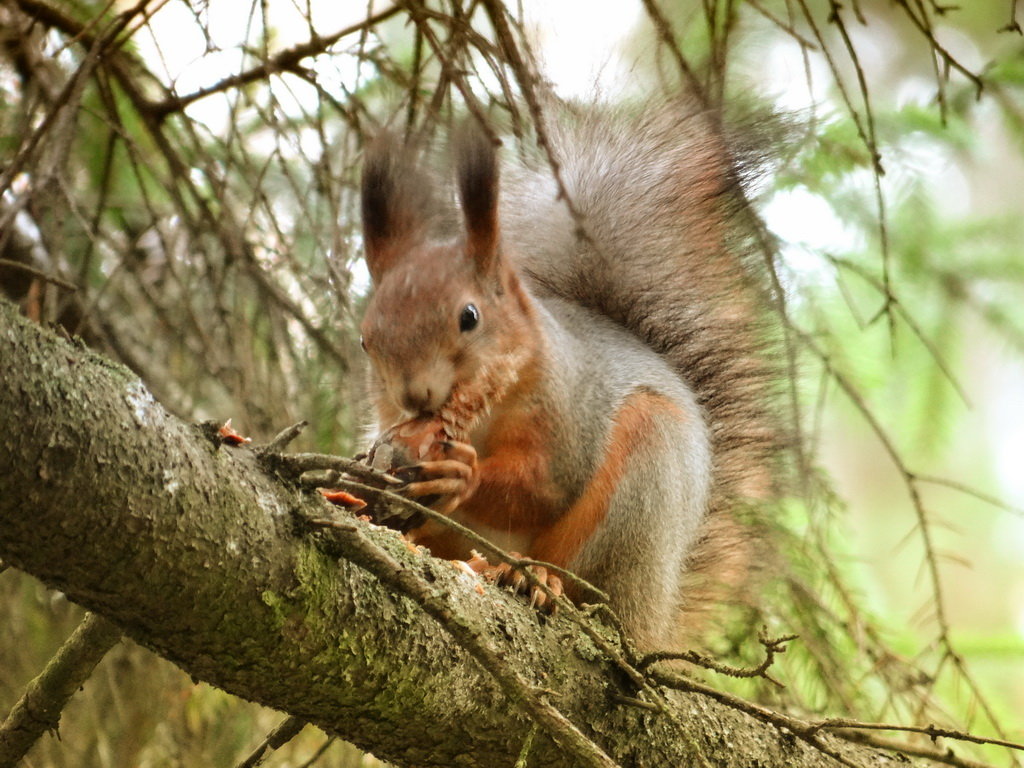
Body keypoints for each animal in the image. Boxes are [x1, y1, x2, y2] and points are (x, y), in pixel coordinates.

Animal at [358, 99, 774, 651]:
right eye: (365, 339)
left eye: (469, 317)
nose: (413, 394)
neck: (481, 415)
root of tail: (654, 620)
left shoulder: (571, 412)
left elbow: (543, 488)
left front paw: (462, 473)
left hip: (638, 492)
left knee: (581, 578)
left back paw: (531, 577)